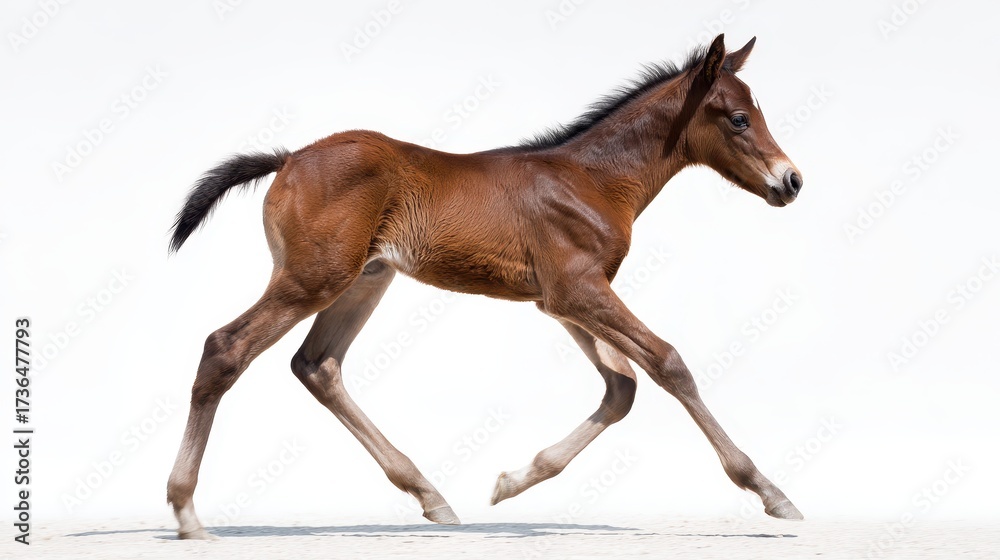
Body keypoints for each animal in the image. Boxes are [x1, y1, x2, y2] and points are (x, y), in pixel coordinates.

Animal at [166, 34, 804, 540]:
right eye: (739, 118)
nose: (792, 180)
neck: (592, 179)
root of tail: (288, 158)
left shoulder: (560, 301)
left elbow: (622, 388)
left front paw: (510, 482)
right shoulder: (579, 290)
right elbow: (670, 363)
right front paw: (771, 492)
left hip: (365, 278)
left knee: (317, 365)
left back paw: (431, 497)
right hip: (312, 279)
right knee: (226, 348)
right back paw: (187, 513)